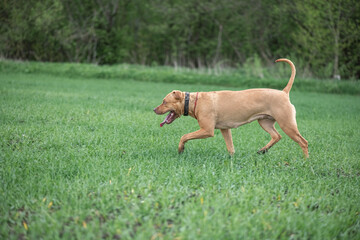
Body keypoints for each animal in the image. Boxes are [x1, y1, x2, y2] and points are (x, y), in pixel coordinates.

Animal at [153, 58, 308, 158]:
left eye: (164, 101)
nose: (154, 109)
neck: (193, 101)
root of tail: (284, 92)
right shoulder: (225, 129)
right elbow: (230, 147)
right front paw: (232, 160)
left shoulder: (207, 130)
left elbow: (184, 136)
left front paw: (181, 149)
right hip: (265, 122)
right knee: (277, 136)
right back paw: (263, 150)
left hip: (287, 124)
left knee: (303, 142)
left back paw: (305, 161)